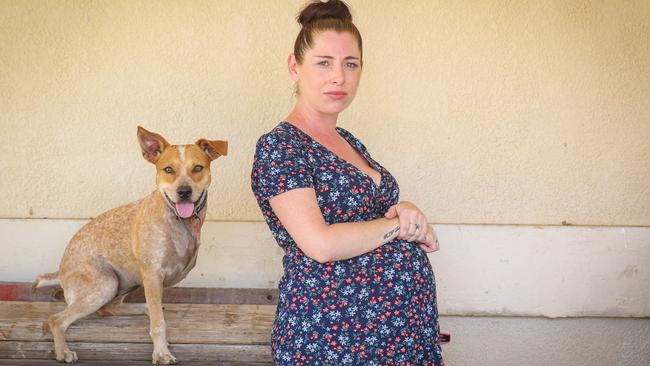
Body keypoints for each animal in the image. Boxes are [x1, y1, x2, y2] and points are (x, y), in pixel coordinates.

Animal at [32, 126, 228, 364]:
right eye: (168, 169)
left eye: (198, 168)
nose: (184, 192)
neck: (178, 221)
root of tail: (60, 271)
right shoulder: (152, 275)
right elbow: (158, 324)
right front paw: (161, 352)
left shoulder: (153, 280)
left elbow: (156, 314)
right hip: (106, 283)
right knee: (57, 319)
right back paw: (63, 351)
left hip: (126, 281)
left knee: (108, 309)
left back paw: (143, 308)